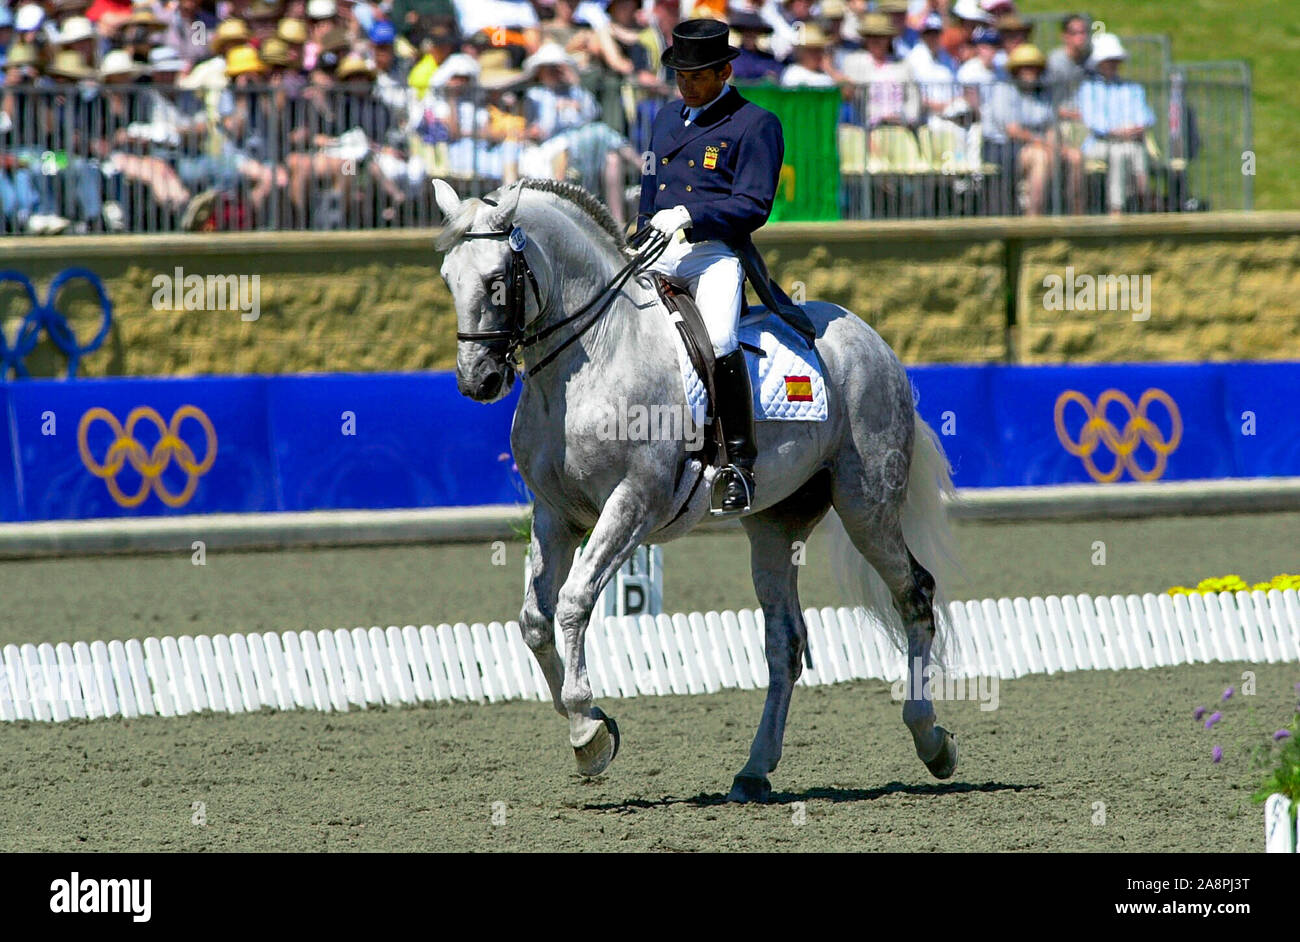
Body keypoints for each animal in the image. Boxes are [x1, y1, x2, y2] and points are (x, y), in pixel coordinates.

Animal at [436, 176, 956, 800]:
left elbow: (575, 601)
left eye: (497, 279)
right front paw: (589, 726)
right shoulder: (556, 514)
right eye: (448, 277)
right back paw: (754, 771)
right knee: (785, 643)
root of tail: (872, 341)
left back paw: (932, 742)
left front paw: (589, 731)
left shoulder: (633, 504)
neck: (593, 356)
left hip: (865, 505)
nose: (478, 380)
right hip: (774, 526)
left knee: (915, 594)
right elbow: (535, 618)